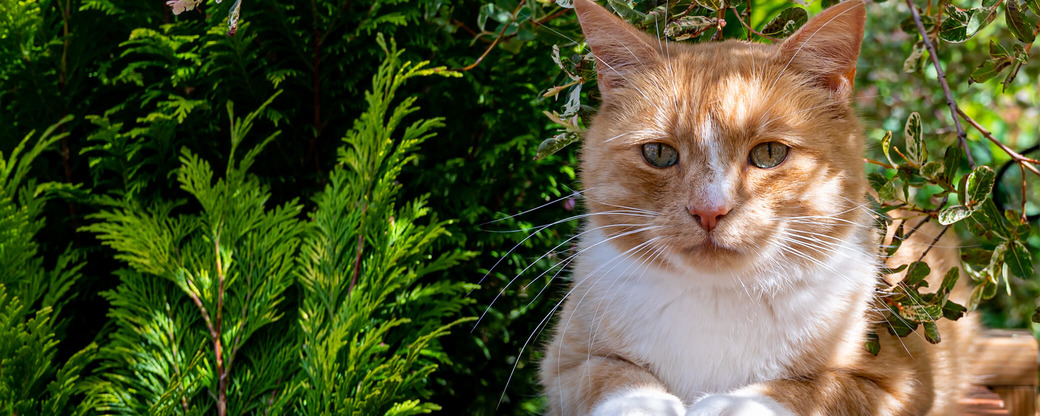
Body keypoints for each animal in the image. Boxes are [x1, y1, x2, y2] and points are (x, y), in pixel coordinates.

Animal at [536, 0, 973, 413]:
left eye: (769, 154)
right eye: (658, 153)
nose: (708, 210)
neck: (717, 300)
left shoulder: (901, 381)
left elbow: (808, 390)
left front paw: (728, 405)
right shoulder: (564, 364)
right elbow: (614, 377)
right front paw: (646, 406)